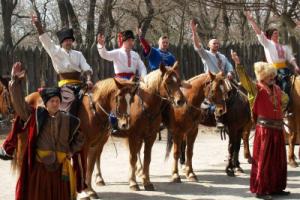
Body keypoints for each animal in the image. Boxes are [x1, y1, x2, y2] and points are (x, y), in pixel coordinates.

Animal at [89, 63, 186, 194]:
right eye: (168, 81)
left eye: (179, 81)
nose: (180, 101)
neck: (146, 106)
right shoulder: (133, 137)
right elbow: (133, 158)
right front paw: (133, 182)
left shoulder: (150, 137)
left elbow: (147, 159)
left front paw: (147, 182)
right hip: (103, 136)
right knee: (98, 154)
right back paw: (99, 178)